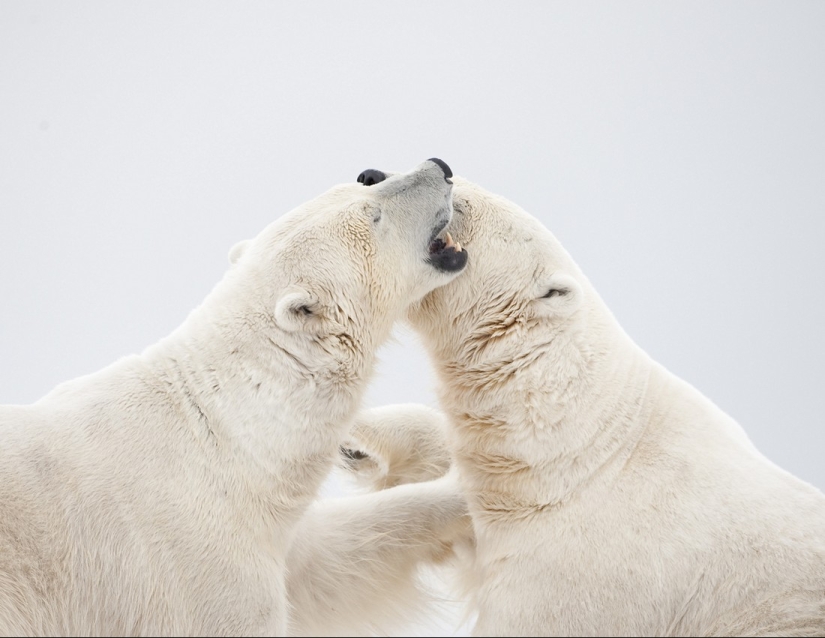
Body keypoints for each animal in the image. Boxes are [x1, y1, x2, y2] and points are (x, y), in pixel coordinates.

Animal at [0, 160, 470, 638]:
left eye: (367, 182)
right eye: (374, 219)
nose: (439, 167)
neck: (231, 436)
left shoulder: (268, 526)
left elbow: (334, 557)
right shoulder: (199, 569)